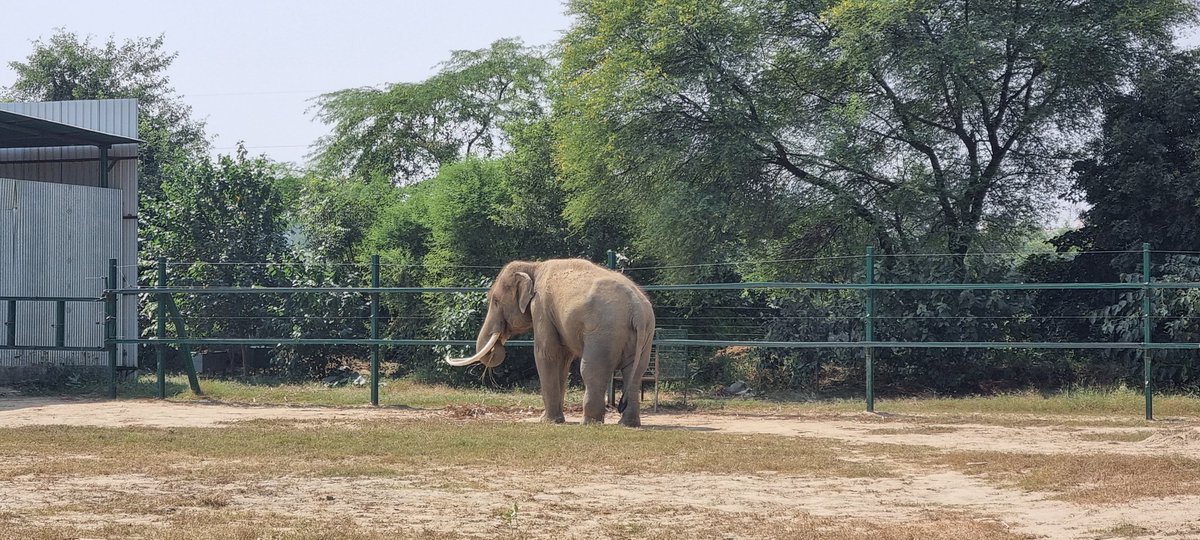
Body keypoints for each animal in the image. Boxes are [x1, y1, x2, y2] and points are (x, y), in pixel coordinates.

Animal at [446, 258, 656, 427]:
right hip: (645, 336)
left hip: (603, 333)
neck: (534, 266)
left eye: (495, 301)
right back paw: (627, 424)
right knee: (635, 373)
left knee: (591, 370)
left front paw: (547, 421)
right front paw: (556, 420)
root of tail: (637, 309)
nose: (496, 350)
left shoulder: (541, 307)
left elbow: (547, 354)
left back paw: (589, 423)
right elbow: (562, 360)